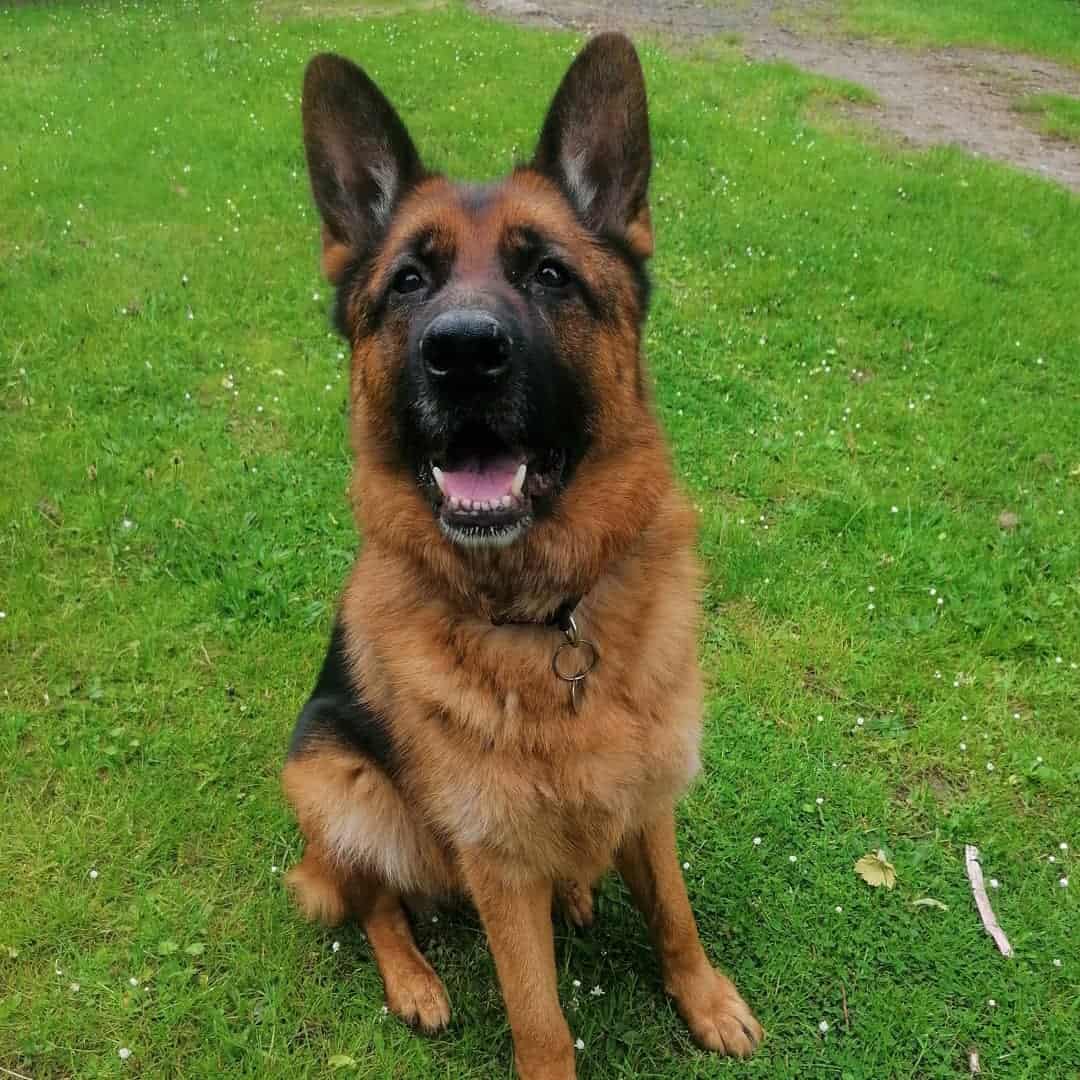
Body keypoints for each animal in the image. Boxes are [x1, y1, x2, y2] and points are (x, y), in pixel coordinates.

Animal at [282, 33, 764, 1080]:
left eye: (548, 274)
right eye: (408, 283)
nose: (463, 352)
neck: (551, 619)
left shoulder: (650, 800)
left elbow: (675, 915)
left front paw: (704, 999)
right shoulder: (497, 866)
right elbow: (538, 1017)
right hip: (337, 783)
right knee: (374, 900)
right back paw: (415, 980)